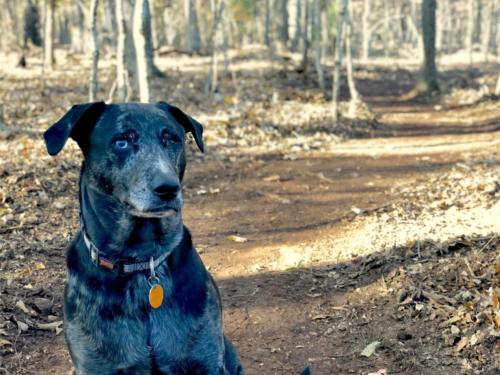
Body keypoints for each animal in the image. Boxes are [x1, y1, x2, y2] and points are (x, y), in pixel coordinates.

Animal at [44, 101, 243, 374]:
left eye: (171, 139)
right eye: (121, 142)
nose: (168, 188)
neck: (140, 261)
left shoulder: (206, 361)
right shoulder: (95, 366)